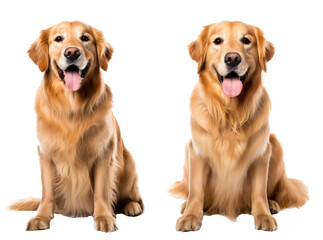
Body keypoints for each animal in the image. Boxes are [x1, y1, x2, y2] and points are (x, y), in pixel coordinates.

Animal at [9, 21, 143, 232]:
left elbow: (101, 191)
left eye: (85, 38)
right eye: (58, 38)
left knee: (132, 197)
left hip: (129, 164)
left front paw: (104, 217)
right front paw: (41, 217)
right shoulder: (45, 153)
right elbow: (47, 192)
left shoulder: (104, 153)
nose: (72, 52)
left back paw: (131, 206)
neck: (72, 107)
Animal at [170, 21, 308, 232]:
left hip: (275, 146)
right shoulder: (197, 153)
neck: (230, 113)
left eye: (246, 40)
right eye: (217, 41)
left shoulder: (261, 154)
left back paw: (272, 204)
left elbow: (258, 191)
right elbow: (196, 191)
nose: (233, 58)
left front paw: (263, 215)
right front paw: (191, 215)